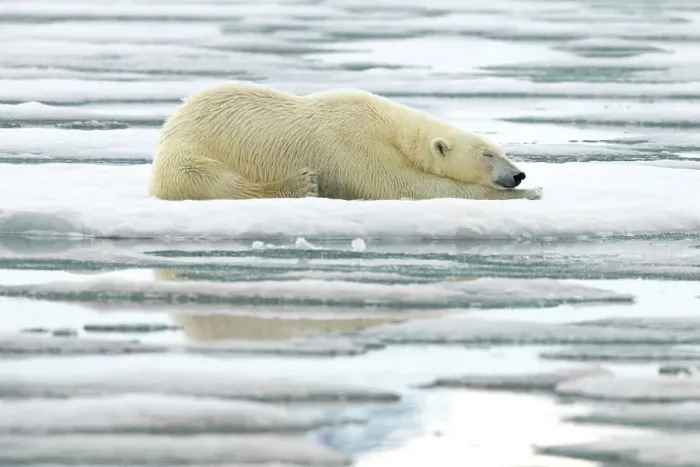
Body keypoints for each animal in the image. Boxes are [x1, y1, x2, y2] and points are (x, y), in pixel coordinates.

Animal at [148, 81, 542, 202]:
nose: (518, 175)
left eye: (502, 151)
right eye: (486, 154)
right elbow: (403, 185)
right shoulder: (353, 142)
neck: (390, 127)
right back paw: (299, 184)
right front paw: (531, 192)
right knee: (215, 180)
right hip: (191, 151)